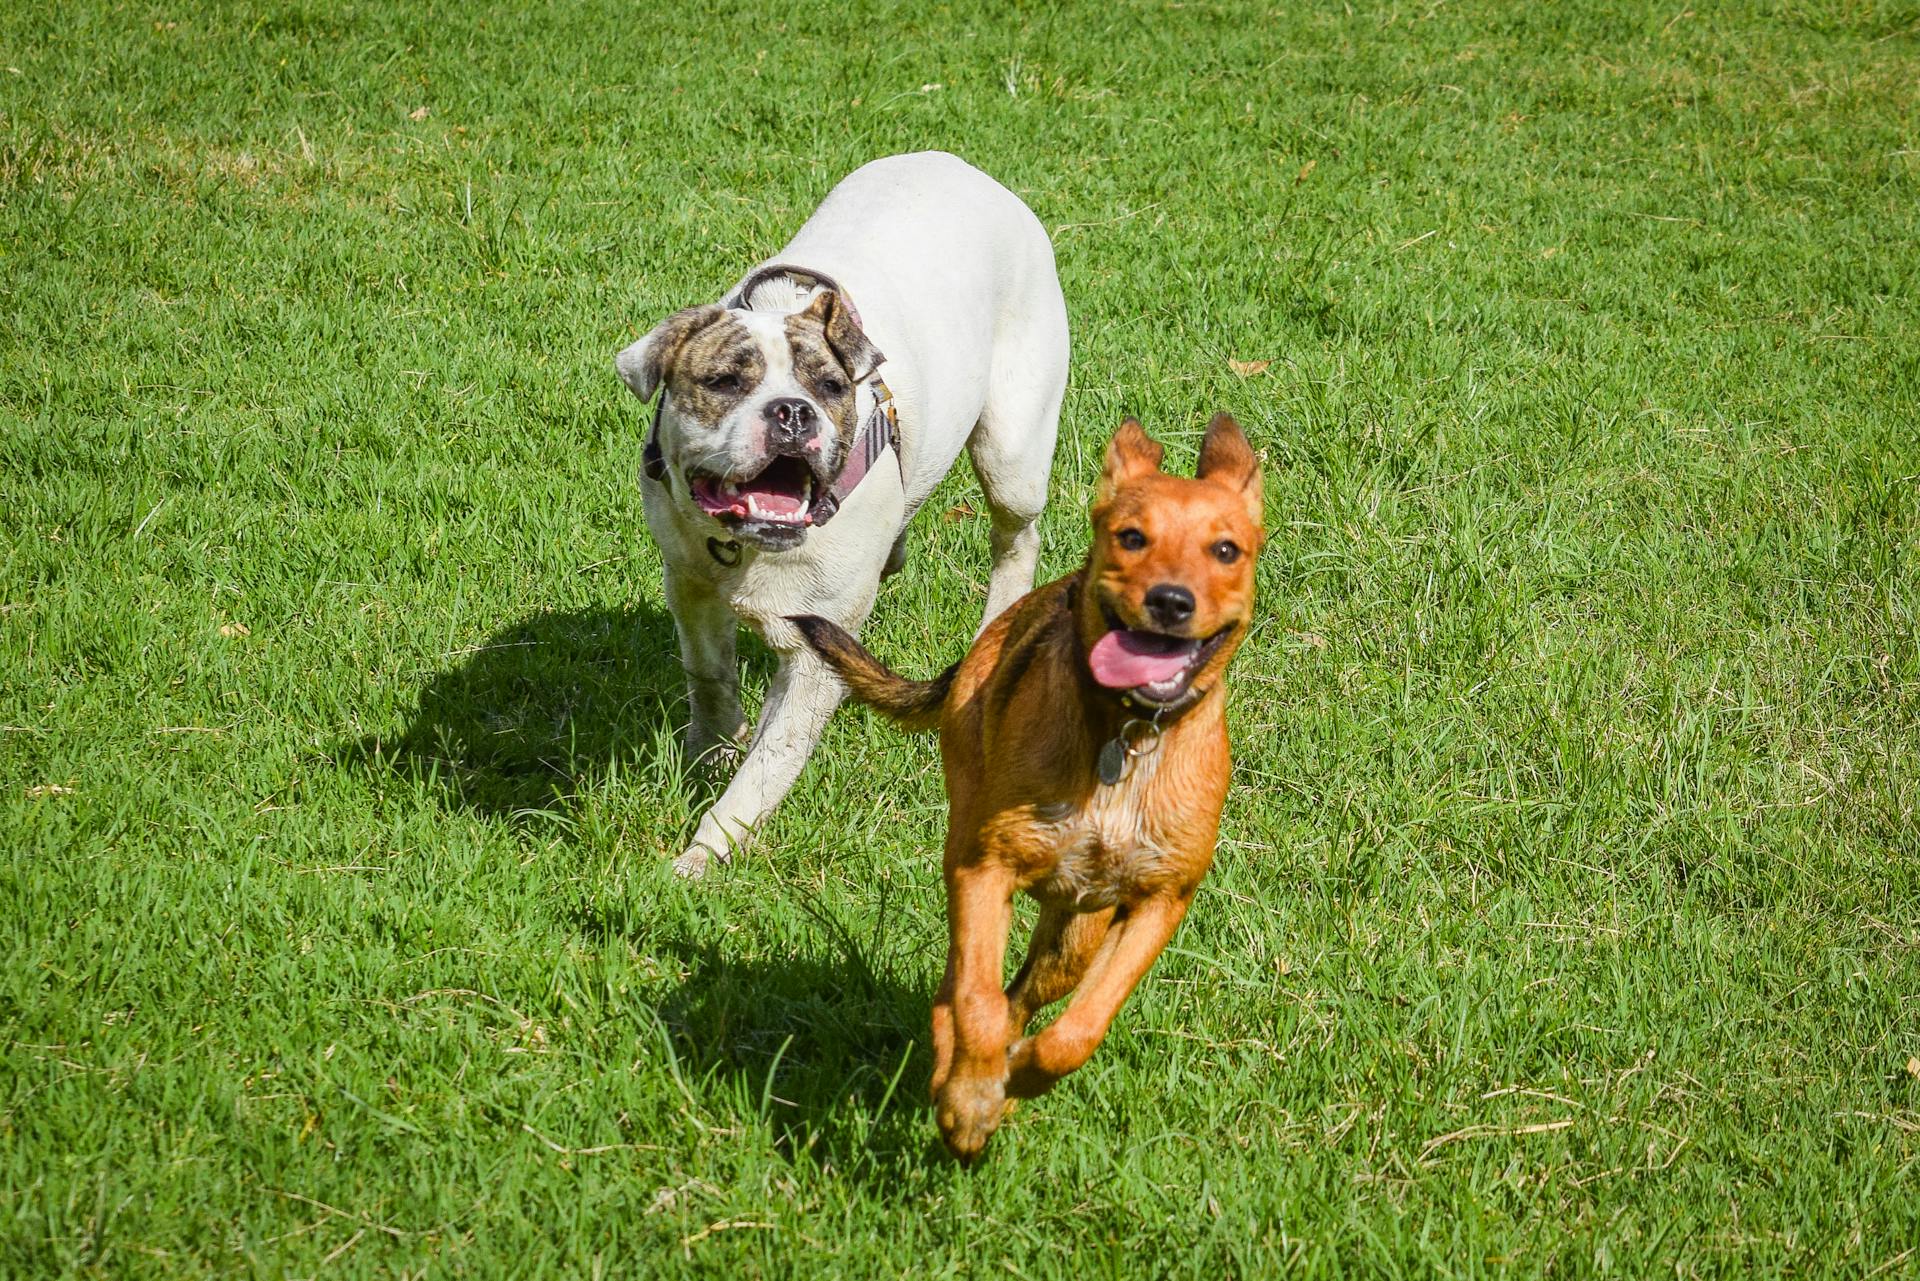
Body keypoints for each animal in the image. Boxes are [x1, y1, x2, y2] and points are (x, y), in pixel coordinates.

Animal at [614, 147, 1067, 871]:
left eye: (830, 387)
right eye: (723, 382)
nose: (792, 410)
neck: (750, 548)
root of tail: (964, 166)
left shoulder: (816, 654)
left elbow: (772, 761)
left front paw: (703, 856)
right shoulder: (688, 582)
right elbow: (708, 674)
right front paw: (711, 750)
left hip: (1012, 454)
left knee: (1016, 539)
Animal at [791, 412, 1259, 1160]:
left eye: (1225, 550)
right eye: (1132, 537)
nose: (1170, 601)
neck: (1128, 734)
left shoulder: (1161, 900)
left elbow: (1078, 1030)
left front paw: (1016, 1079)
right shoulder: (986, 870)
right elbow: (977, 1004)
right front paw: (967, 1099)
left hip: (1075, 934)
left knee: (1026, 995)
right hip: (965, 845)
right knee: (959, 988)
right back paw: (960, 1080)